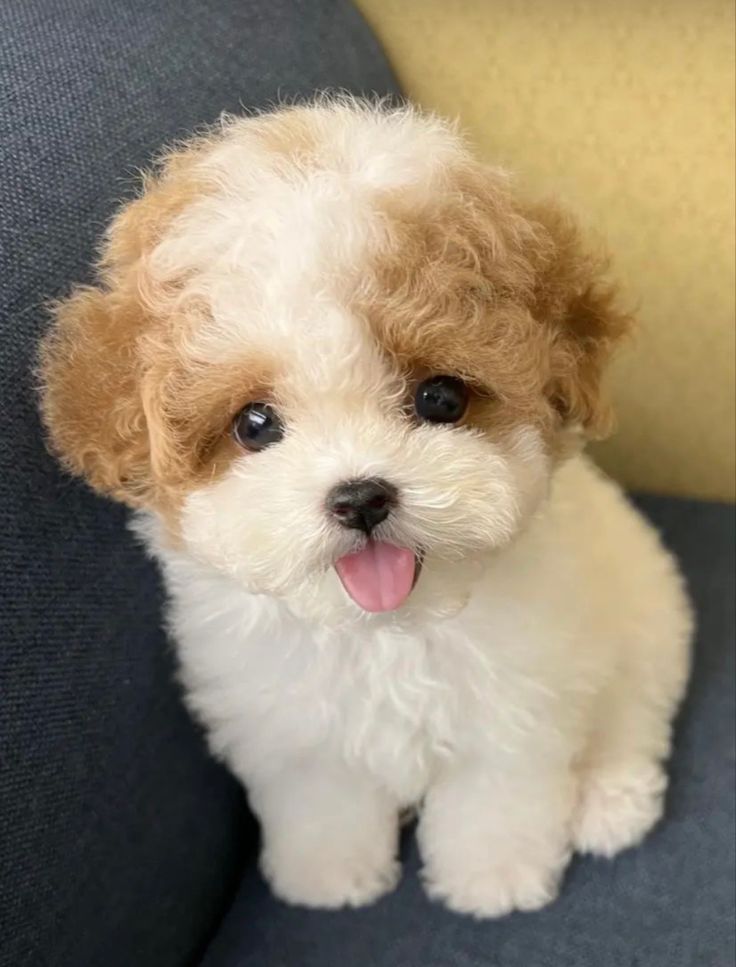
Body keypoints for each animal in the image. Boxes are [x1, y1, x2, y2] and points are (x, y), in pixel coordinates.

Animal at [40, 100, 688, 924]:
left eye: (441, 396)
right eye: (254, 424)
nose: (359, 497)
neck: (385, 631)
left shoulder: (516, 707)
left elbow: (496, 798)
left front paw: (494, 878)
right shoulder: (289, 724)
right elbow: (325, 800)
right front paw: (330, 875)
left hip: (647, 620)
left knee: (632, 713)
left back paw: (609, 801)